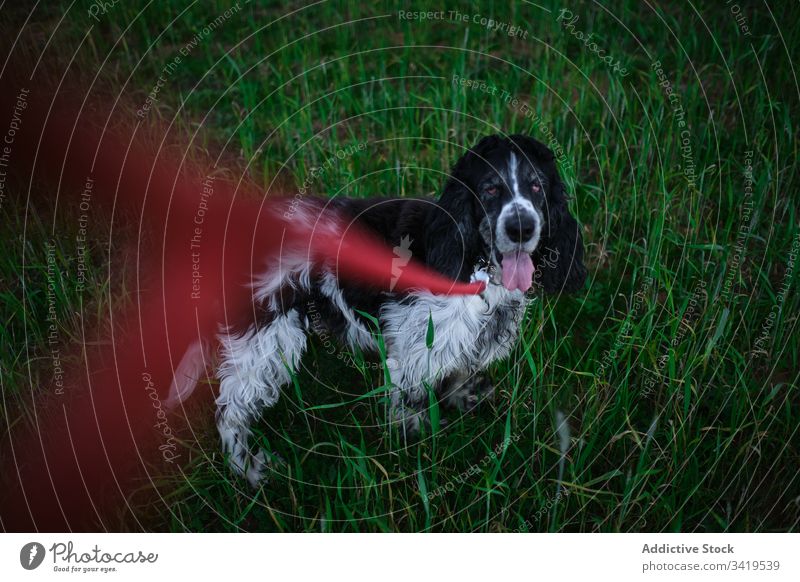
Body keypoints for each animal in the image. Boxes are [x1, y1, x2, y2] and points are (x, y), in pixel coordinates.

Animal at [167, 135, 588, 486]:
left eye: (537, 186)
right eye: (489, 188)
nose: (521, 228)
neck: (473, 260)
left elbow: (459, 375)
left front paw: (465, 399)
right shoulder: (412, 353)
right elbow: (408, 411)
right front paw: (413, 453)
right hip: (265, 340)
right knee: (230, 412)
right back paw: (249, 470)